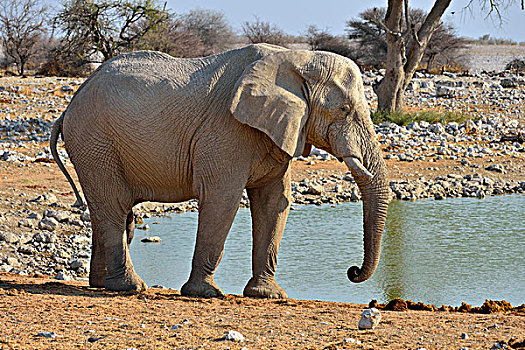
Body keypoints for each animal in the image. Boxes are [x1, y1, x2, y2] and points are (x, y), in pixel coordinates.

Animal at [50, 43, 388, 298]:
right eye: (344, 110)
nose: (352, 271)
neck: (296, 58)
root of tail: (69, 106)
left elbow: (274, 203)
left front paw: (267, 295)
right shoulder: (226, 131)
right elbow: (222, 200)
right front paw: (205, 294)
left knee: (107, 211)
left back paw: (100, 284)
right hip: (95, 142)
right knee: (114, 207)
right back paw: (129, 287)